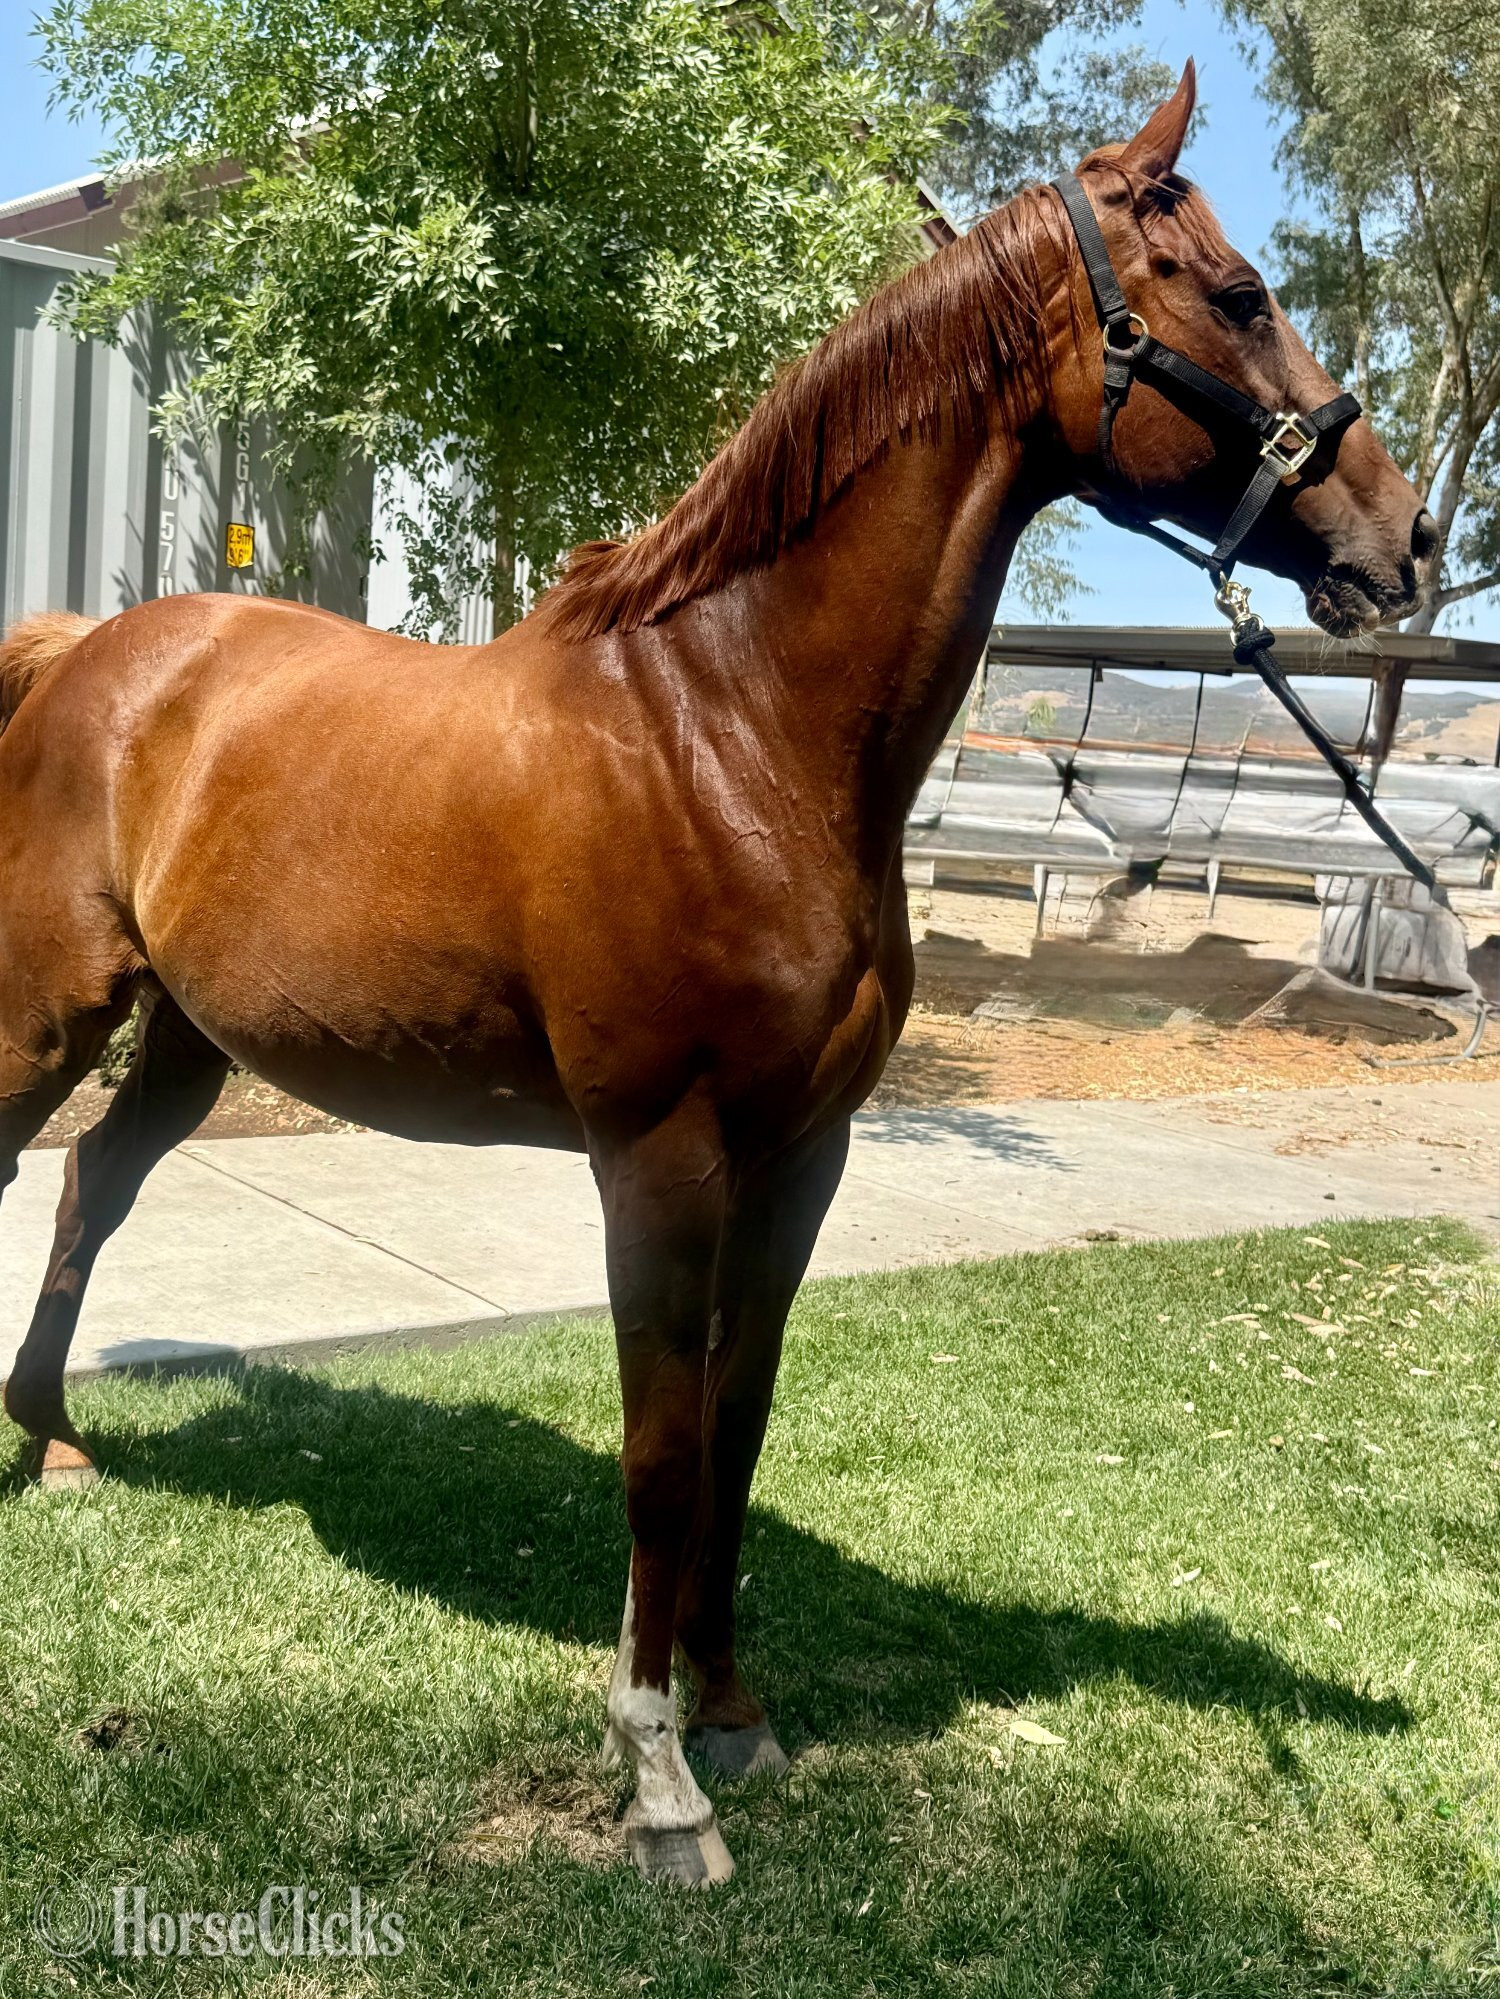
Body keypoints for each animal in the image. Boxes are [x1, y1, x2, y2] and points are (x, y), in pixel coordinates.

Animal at [0, 63, 1435, 1885]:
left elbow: (740, 1431)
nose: (1406, 538)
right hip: (49, 1004)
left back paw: (55, 1438)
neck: (735, 729)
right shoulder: (659, 1157)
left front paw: (735, 1708)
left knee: (92, 1186)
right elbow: (664, 1453)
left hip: (189, 1036)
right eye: (1239, 295)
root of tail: (89, 653)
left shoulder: (799, 1155)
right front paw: (659, 1772)